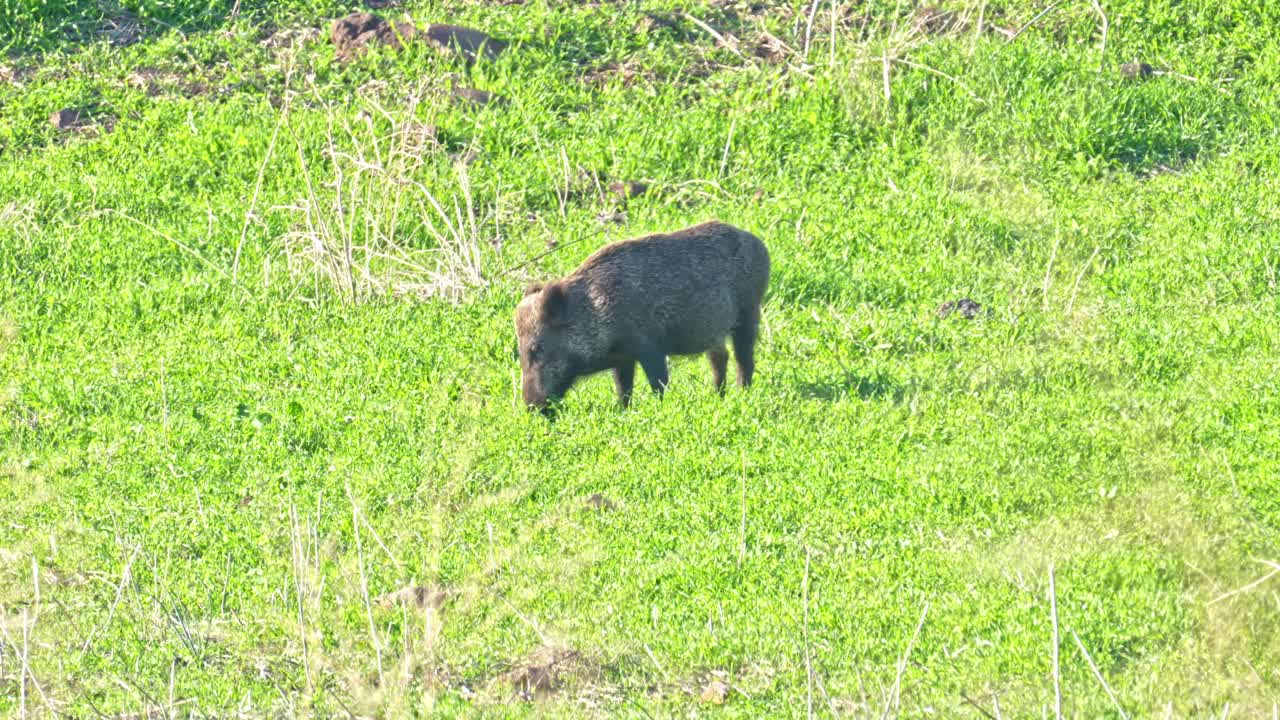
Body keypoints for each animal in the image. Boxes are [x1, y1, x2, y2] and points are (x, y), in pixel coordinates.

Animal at [514, 220, 770, 412]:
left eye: (536, 348)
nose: (531, 407)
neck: (597, 310)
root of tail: (759, 244)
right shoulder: (623, 359)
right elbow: (623, 387)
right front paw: (622, 411)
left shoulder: (649, 347)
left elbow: (658, 382)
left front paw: (660, 408)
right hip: (714, 331)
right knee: (720, 357)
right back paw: (719, 396)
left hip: (749, 312)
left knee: (744, 359)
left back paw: (742, 394)